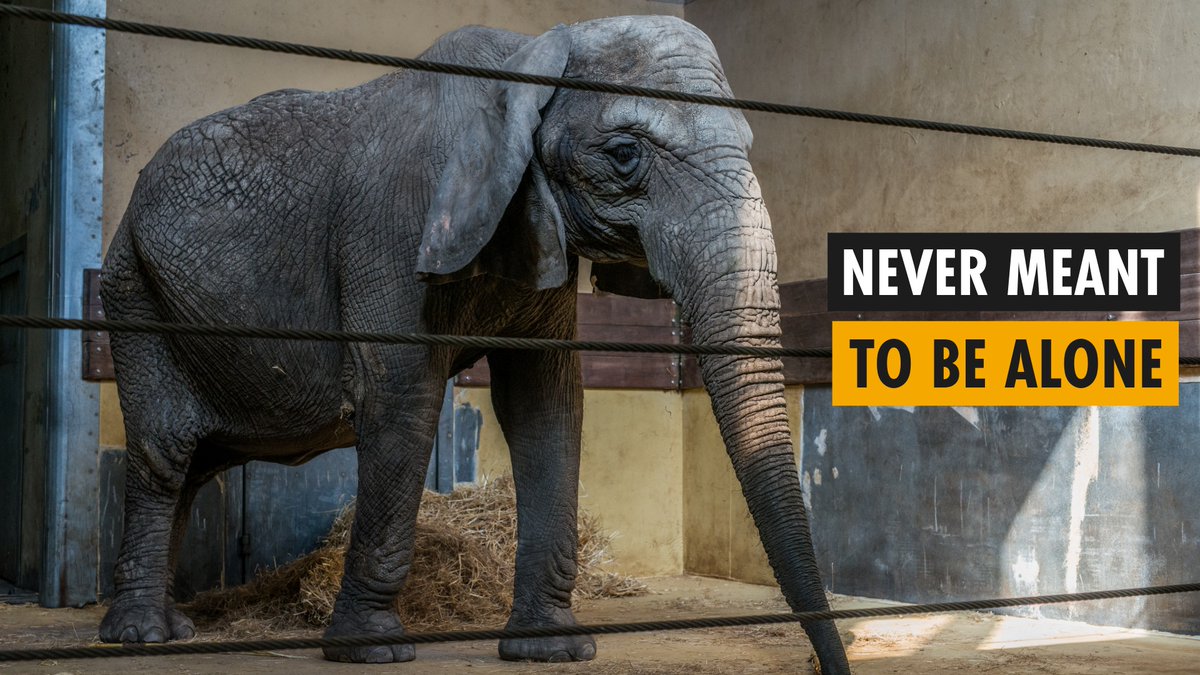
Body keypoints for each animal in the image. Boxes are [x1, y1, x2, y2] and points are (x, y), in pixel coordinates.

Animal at [97, 14, 851, 672]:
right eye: (624, 154)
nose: (827, 663)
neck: (529, 52)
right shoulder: (394, 227)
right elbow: (402, 398)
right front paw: (372, 651)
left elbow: (545, 402)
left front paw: (551, 650)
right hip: (132, 290)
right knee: (166, 450)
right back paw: (141, 636)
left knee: (195, 462)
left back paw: (172, 628)